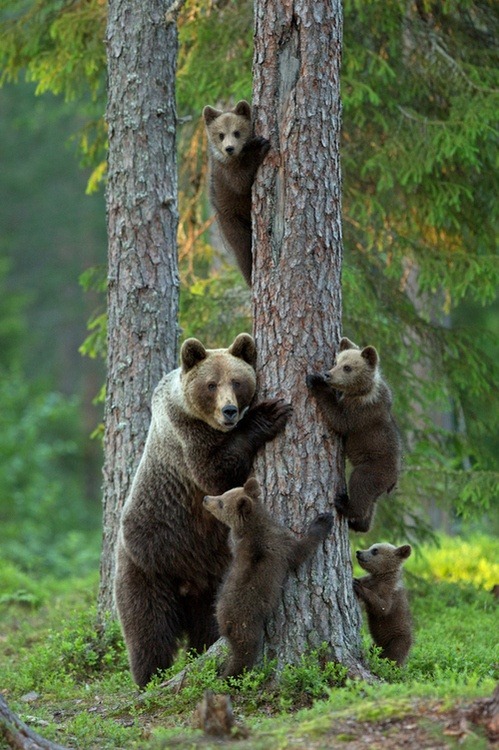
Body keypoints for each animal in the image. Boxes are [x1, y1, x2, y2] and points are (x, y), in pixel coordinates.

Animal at [114, 334, 292, 688]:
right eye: (211, 384)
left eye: (236, 381)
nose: (229, 410)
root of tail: (187, 584)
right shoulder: (186, 437)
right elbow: (214, 473)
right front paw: (268, 414)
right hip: (148, 564)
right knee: (148, 630)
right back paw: (149, 679)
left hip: (213, 580)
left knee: (207, 626)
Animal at [201, 482, 334, 680]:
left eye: (221, 501)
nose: (206, 498)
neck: (253, 525)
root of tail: (225, 623)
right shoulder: (280, 546)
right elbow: (301, 551)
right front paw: (323, 520)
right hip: (247, 624)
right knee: (245, 653)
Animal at [202, 100, 270, 288]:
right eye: (220, 135)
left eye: (237, 132)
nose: (229, 148)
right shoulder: (226, 172)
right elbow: (241, 182)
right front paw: (258, 146)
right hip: (232, 221)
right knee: (243, 250)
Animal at [304, 338, 402, 532]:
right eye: (336, 361)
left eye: (347, 367)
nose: (327, 374)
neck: (363, 390)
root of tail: (394, 480)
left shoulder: (361, 411)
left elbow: (340, 420)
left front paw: (315, 381)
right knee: (371, 503)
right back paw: (359, 524)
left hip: (375, 467)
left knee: (361, 484)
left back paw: (345, 505)